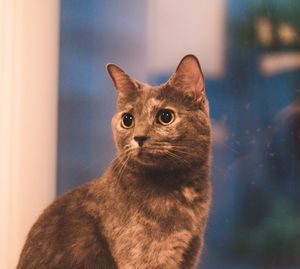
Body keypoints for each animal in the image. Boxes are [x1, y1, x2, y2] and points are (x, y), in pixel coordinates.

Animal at [17, 54, 212, 268]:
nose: (139, 137)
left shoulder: (190, 253)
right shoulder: (144, 258)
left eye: (165, 116)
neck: (181, 191)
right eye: (127, 120)